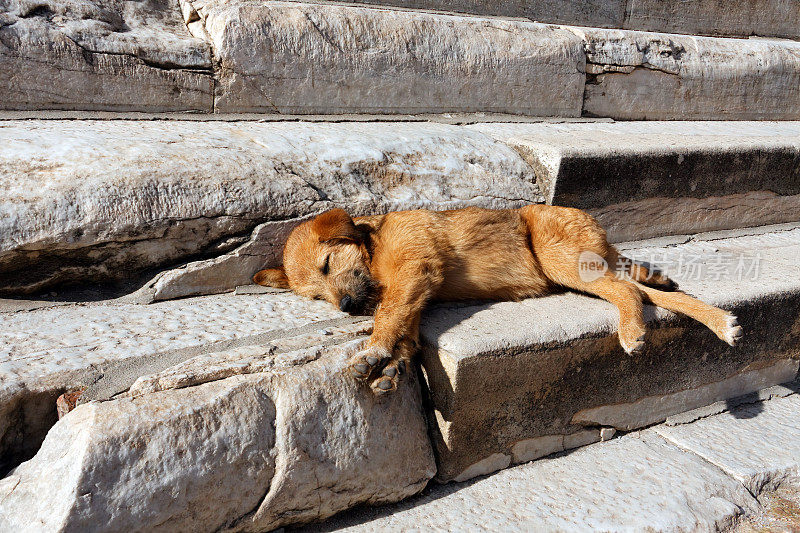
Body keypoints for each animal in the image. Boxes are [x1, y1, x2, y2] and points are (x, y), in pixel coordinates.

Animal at [253, 206, 740, 392]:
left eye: (326, 264)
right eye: (316, 296)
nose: (347, 308)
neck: (373, 242)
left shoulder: (413, 272)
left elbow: (390, 315)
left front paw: (373, 350)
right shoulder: (418, 294)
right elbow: (406, 330)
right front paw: (392, 364)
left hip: (560, 258)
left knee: (626, 289)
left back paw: (633, 328)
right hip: (585, 260)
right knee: (634, 277)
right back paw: (696, 306)